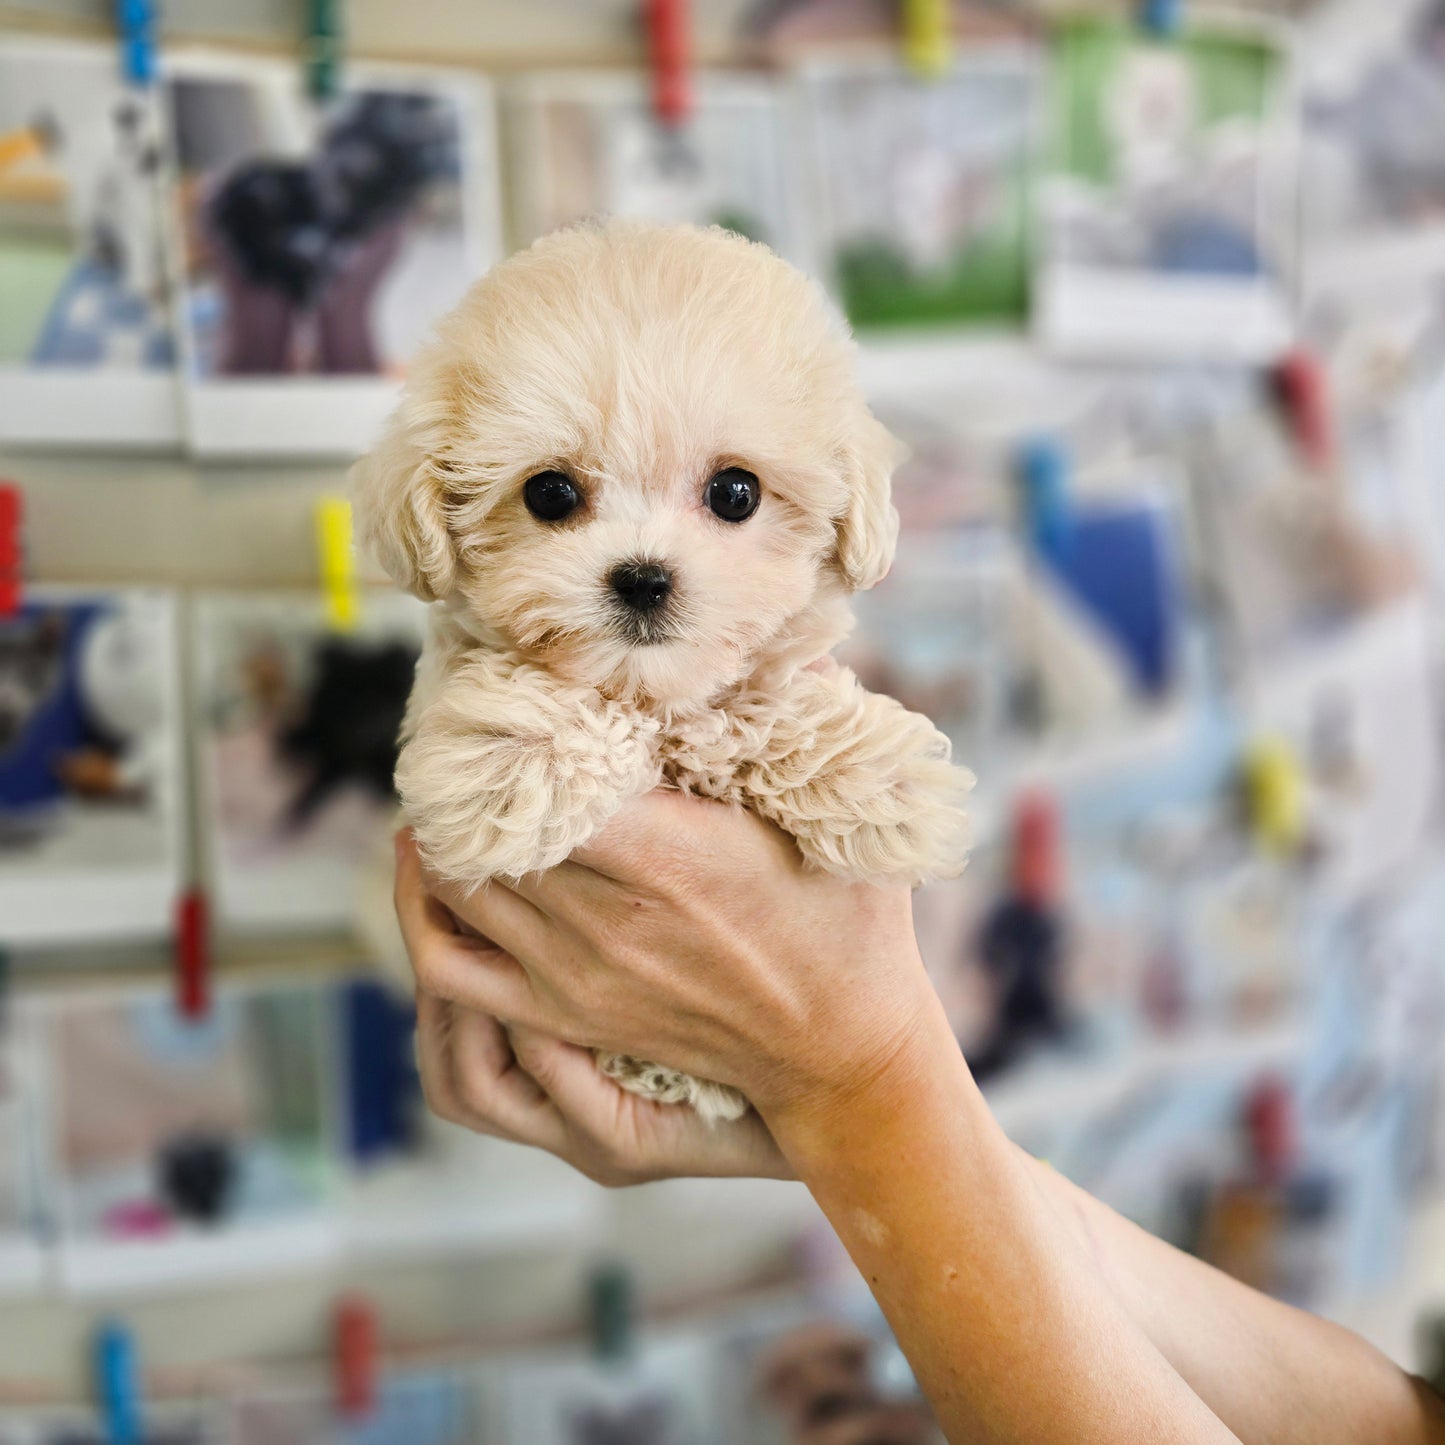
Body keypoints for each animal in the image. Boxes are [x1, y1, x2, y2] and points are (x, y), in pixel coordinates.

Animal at [355, 222, 976, 1127]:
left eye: (734, 492)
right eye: (549, 493)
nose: (643, 578)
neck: (654, 693)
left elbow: (764, 704)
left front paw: (887, 782)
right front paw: (510, 762)